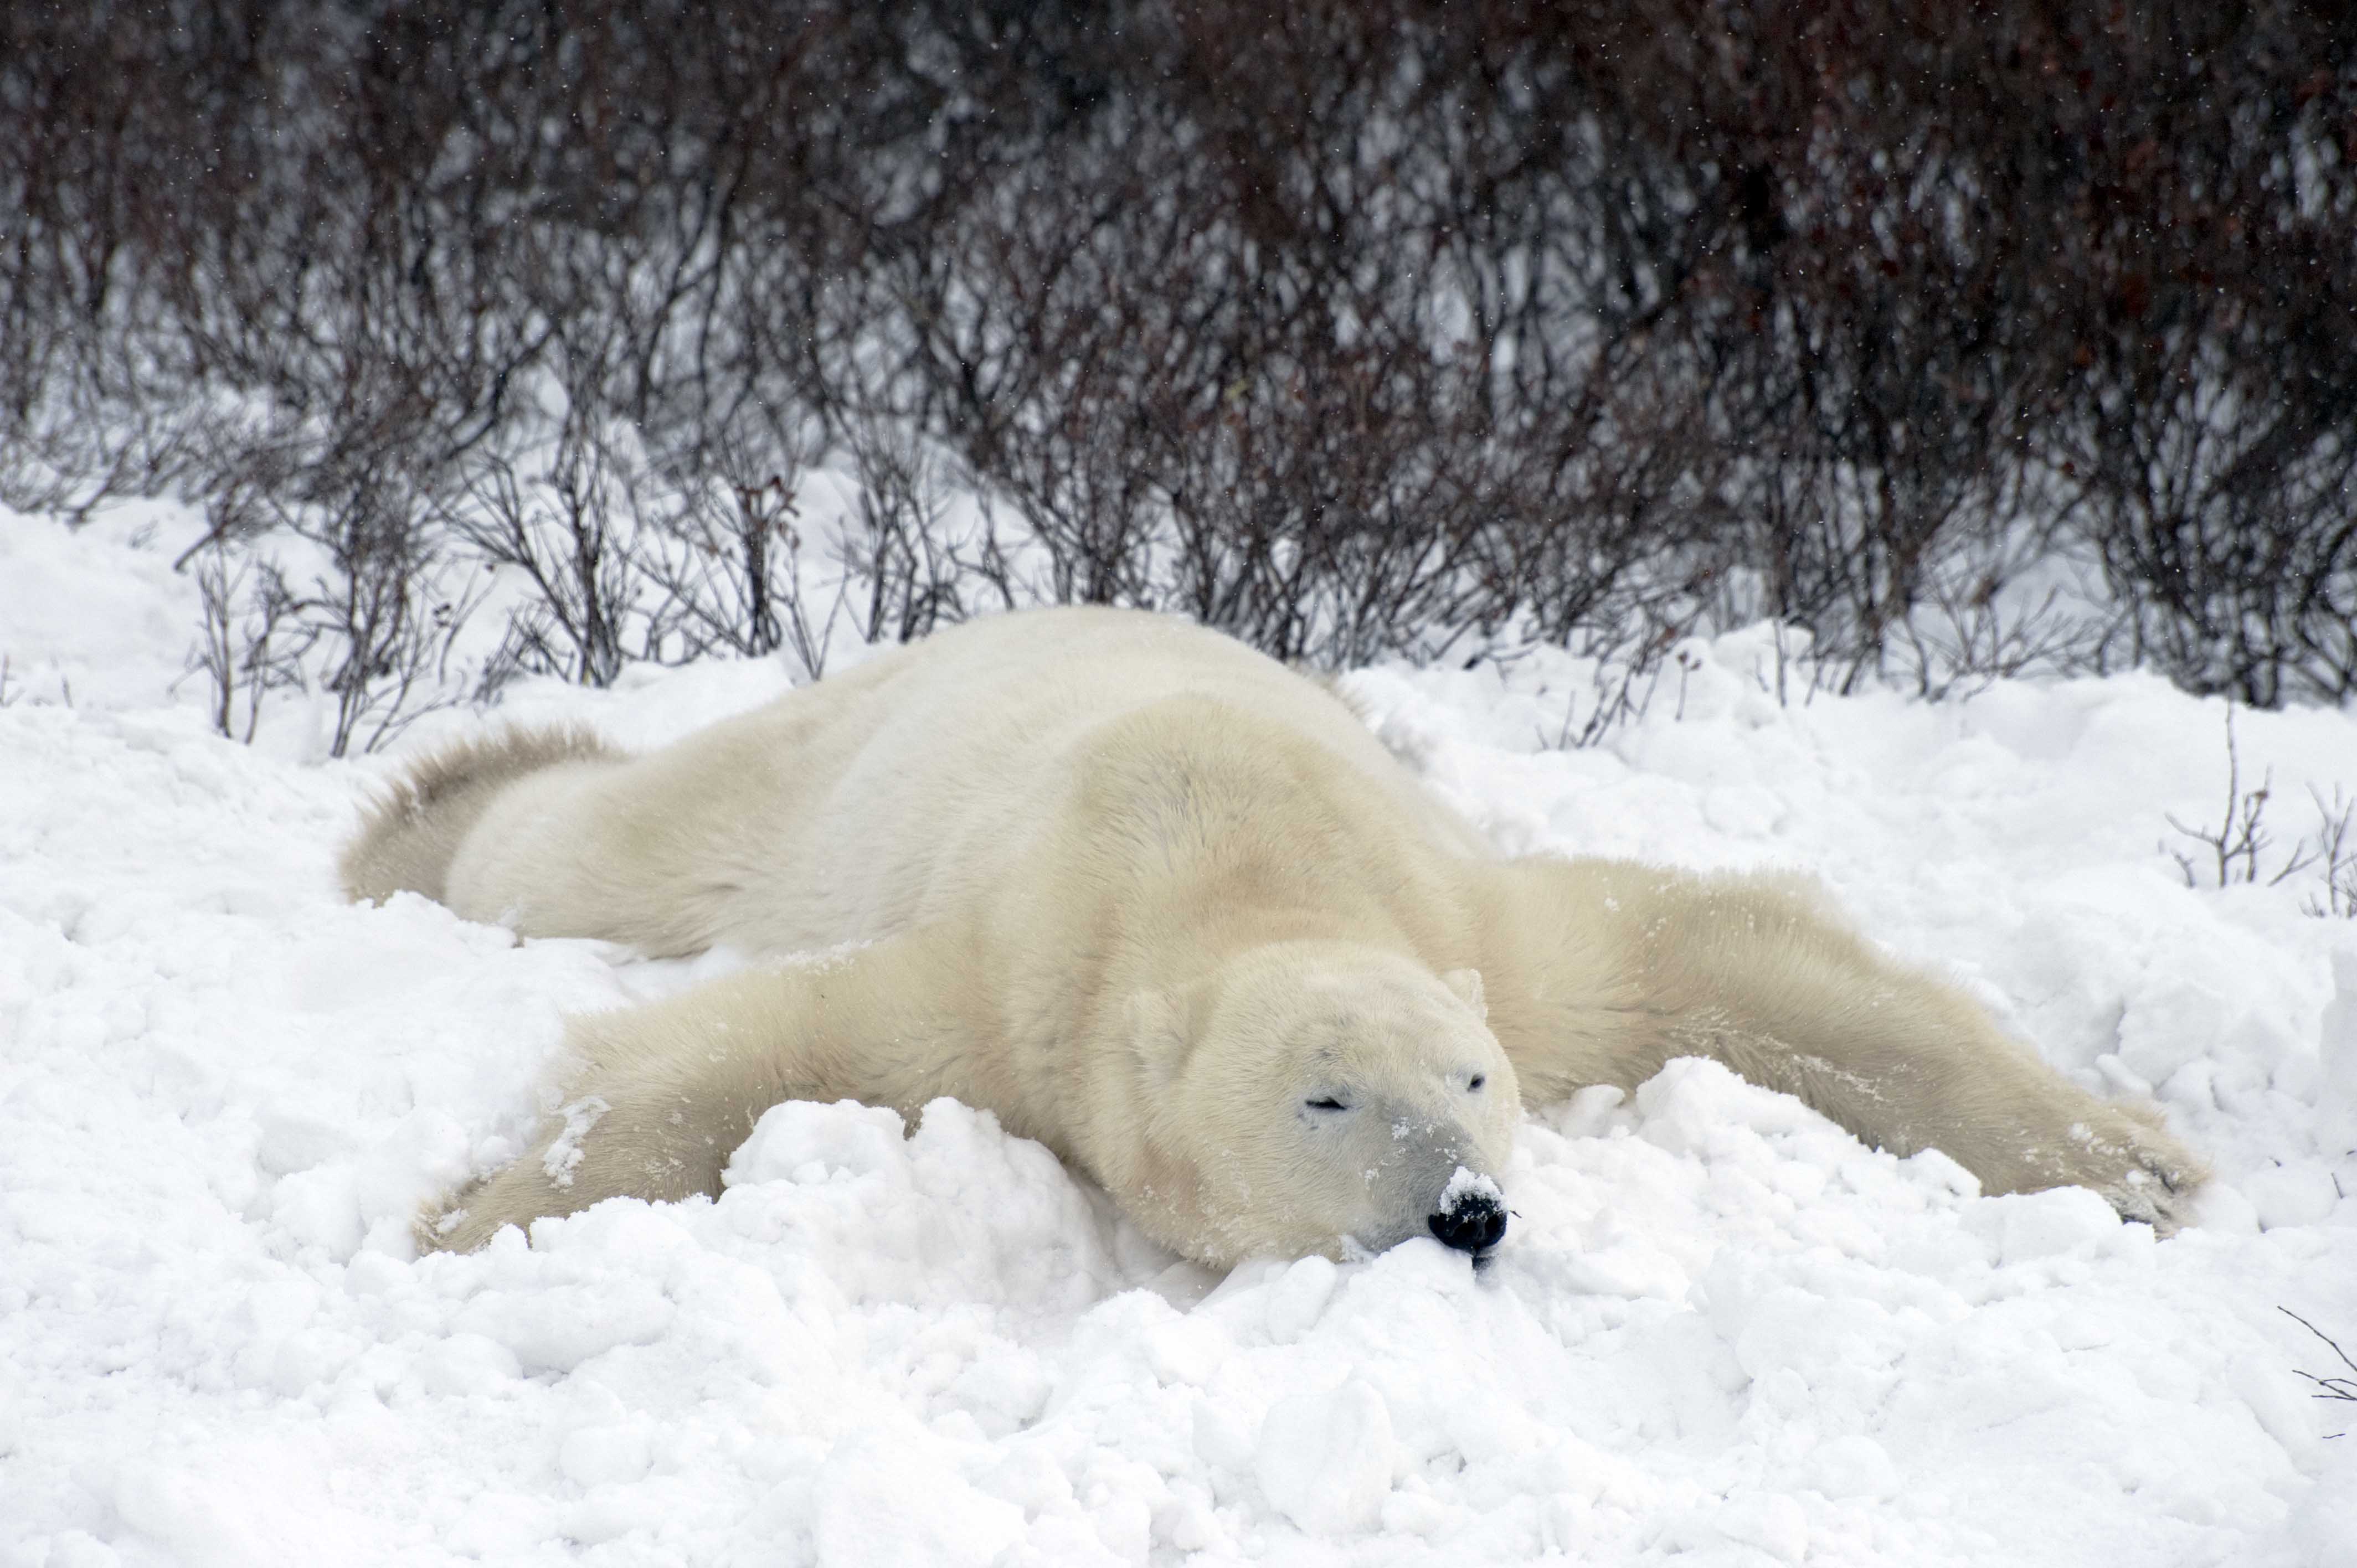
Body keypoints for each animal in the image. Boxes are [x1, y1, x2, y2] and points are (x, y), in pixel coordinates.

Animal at [344, 606, 2205, 1264]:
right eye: (1326, 1097)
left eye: (1470, 1080)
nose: (1466, 1212)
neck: (1236, 856)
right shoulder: (1013, 983)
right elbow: (770, 1044)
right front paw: (472, 1215)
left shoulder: (1485, 929)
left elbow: (1724, 956)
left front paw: (2130, 1160)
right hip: (817, 779)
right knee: (604, 850)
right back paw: (429, 807)